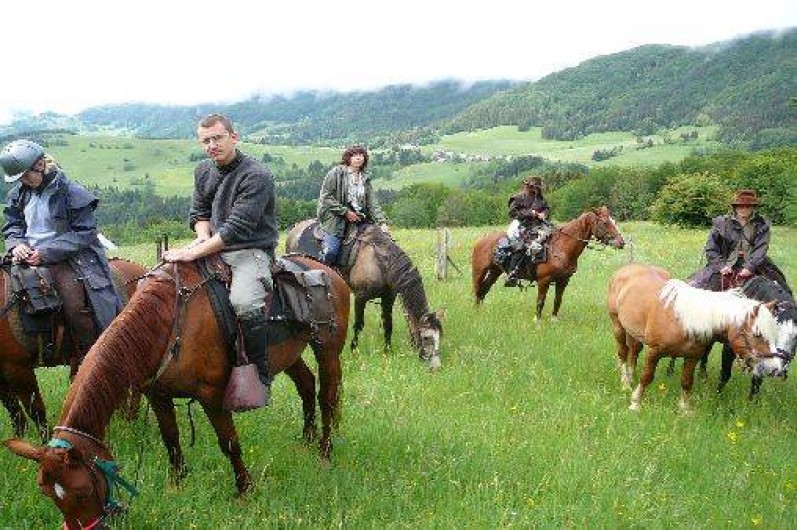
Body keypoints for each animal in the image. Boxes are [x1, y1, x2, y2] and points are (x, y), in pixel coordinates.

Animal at [285, 219, 443, 370]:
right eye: (427, 337)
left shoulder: (388, 298)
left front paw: (388, 350)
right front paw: (353, 350)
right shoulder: (360, 297)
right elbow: (358, 324)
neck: (379, 262)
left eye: (440, 336)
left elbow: (388, 324)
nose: (435, 367)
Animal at [471, 206, 625, 321]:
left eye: (613, 221)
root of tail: (481, 239)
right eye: (605, 222)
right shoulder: (544, 280)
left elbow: (558, 300)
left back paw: (480, 312)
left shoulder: (563, 280)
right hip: (479, 272)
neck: (561, 248)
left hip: (494, 271)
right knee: (477, 289)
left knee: (483, 290)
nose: (621, 243)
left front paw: (554, 319)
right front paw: (537, 320)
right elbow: (541, 301)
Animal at [607, 263, 783, 412]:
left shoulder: (693, 357)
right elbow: (646, 377)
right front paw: (635, 403)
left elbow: (686, 381)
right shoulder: (654, 352)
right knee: (623, 353)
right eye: (757, 334)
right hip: (618, 325)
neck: (684, 321)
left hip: (633, 331)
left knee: (634, 351)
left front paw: (684, 409)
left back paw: (630, 378)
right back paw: (625, 383)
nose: (775, 368)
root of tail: (626, 269)